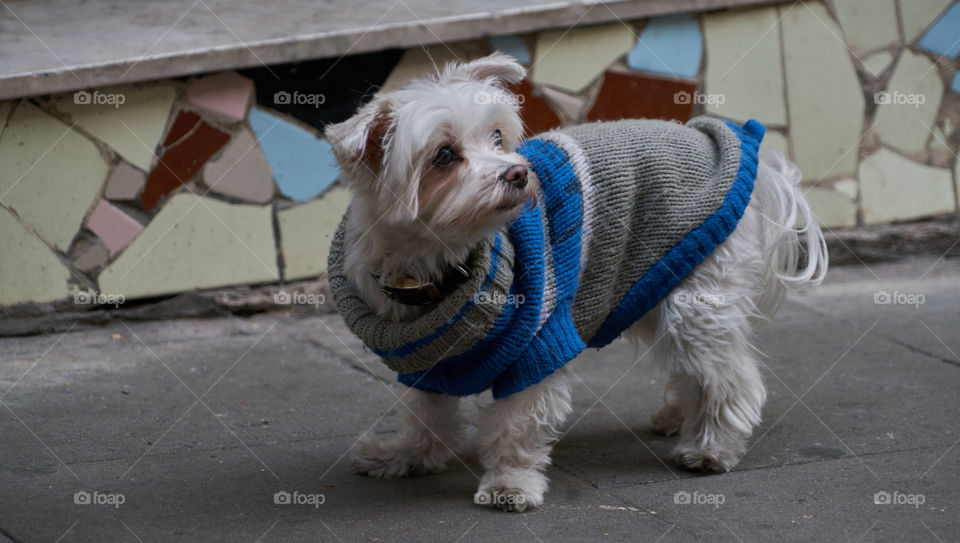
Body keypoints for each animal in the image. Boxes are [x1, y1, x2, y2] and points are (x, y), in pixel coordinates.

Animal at [324, 53, 824, 512]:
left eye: (497, 136)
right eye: (443, 156)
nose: (518, 172)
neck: (438, 266)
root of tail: (728, 137)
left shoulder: (538, 344)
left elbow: (517, 426)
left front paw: (510, 482)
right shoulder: (423, 357)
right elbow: (424, 413)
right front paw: (405, 456)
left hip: (694, 302)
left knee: (730, 375)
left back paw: (711, 445)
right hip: (655, 285)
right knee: (694, 368)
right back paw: (681, 417)